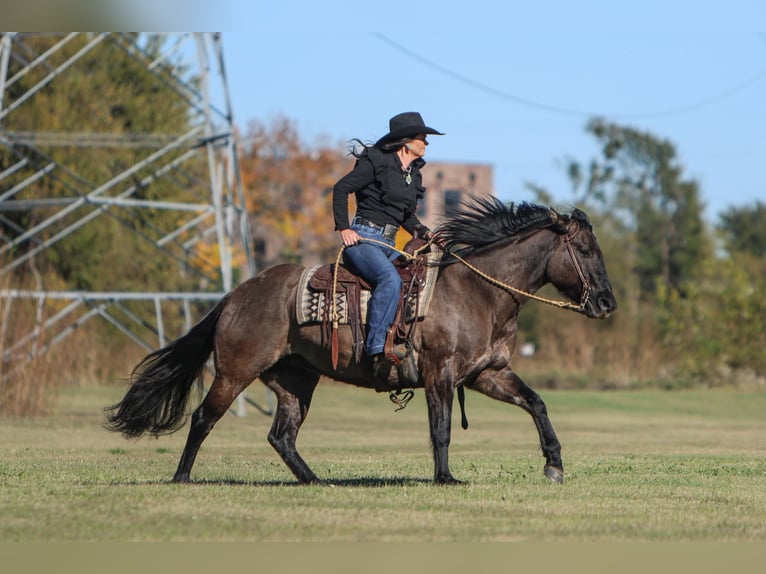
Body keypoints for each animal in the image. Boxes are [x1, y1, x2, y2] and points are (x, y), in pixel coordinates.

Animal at [105, 199, 616, 486]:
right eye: (585, 250)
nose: (607, 302)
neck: (477, 292)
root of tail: (234, 295)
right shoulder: (441, 374)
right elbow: (442, 429)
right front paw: (446, 477)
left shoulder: (488, 373)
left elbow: (537, 404)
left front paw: (554, 465)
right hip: (235, 372)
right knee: (203, 418)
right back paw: (182, 477)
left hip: (294, 380)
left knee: (281, 436)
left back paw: (317, 481)